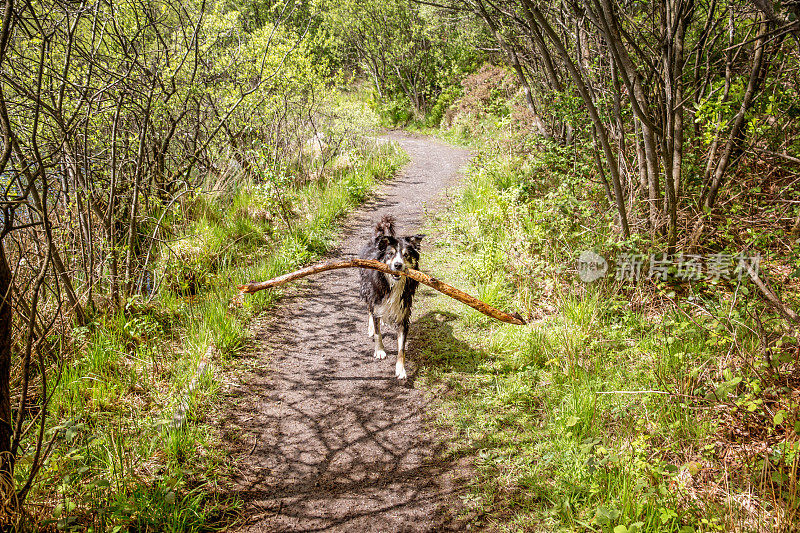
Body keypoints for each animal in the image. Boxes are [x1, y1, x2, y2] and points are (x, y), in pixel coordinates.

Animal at [360, 213, 424, 378]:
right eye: (390, 254)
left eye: (406, 255)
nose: (397, 265)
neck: (393, 285)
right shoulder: (376, 299)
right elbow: (378, 333)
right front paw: (380, 350)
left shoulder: (403, 314)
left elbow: (401, 348)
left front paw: (401, 369)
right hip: (366, 289)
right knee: (369, 310)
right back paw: (371, 326)